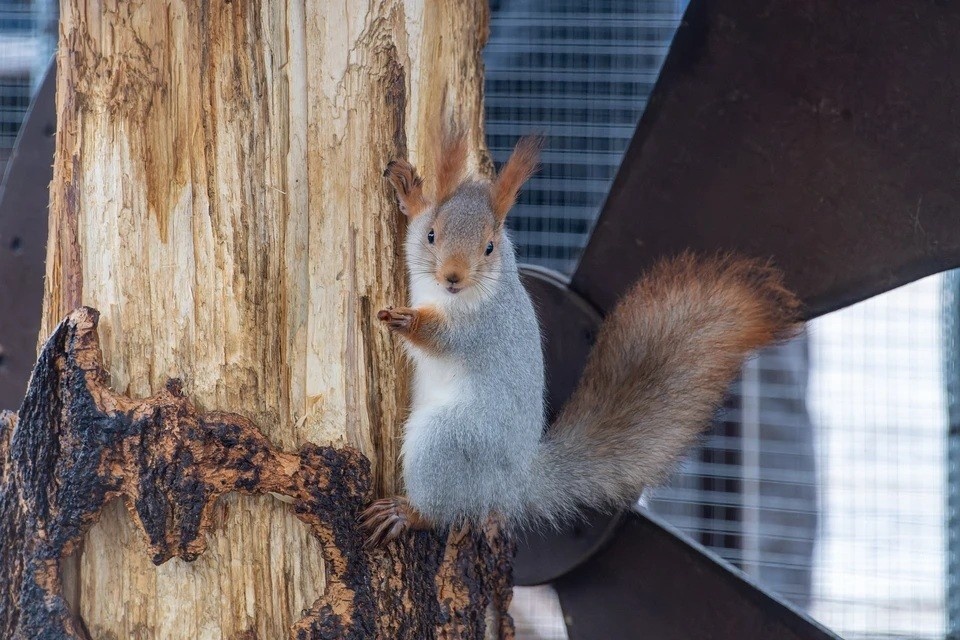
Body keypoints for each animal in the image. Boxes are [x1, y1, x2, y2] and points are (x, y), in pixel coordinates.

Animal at [361, 126, 801, 547]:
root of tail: (511, 486)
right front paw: (410, 190)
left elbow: (445, 337)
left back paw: (407, 513)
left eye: (489, 248)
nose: (453, 276)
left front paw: (406, 320)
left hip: (449, 442)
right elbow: (413, 226)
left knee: (442, 508)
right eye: (433, 236)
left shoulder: (482, 327)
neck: (450, 296)